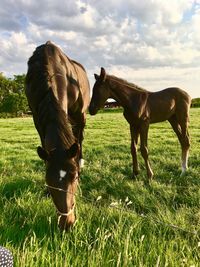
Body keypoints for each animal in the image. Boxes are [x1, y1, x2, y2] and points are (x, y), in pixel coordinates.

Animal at [25, 41, 90, 230]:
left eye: (74, 178)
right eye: (48, 180)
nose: (66, 223)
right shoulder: (36, 117)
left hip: (80, 116)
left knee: (79, 138)